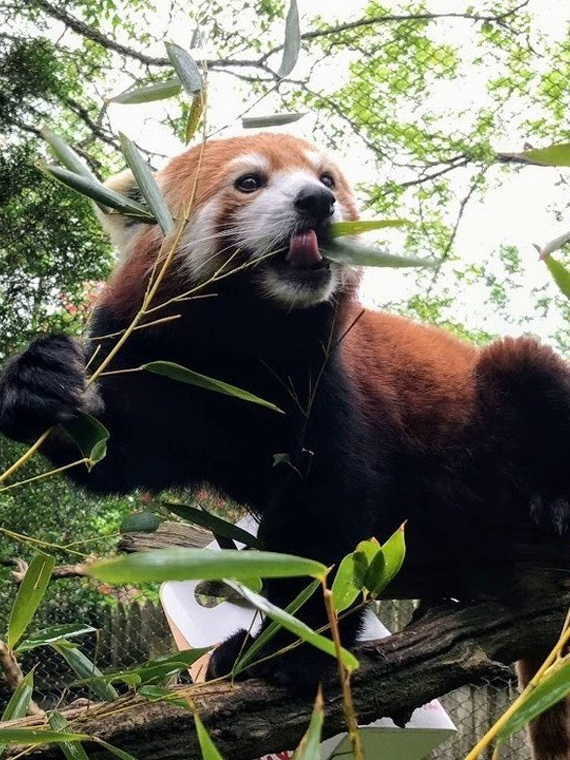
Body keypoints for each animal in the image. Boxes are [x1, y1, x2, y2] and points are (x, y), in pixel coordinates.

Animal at [1, 134, 568, 756]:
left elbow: (326, 521)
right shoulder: (159, 370)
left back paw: (554, 503)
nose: (317, 202)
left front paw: (293, 650)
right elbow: (115, 454)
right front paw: (39, 382)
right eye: (249, 182)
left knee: (528, 369)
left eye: (327, 178)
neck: (244, 342)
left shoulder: (329, 381)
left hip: (502, 390)